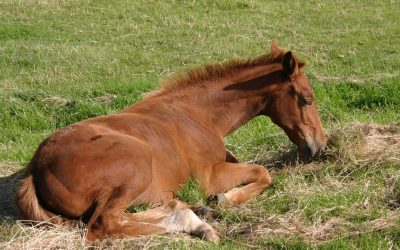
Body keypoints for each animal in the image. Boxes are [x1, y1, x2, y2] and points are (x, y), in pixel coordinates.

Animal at [17, 41, 326, 242]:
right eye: (306, 99)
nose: (320, 146)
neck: (197, 114)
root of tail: (35, 167)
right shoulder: (208, 178)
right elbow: (263, 172)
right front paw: (225, 198)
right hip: (138, 160)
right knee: (103, 224)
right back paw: (195, 222)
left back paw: (197, 214)